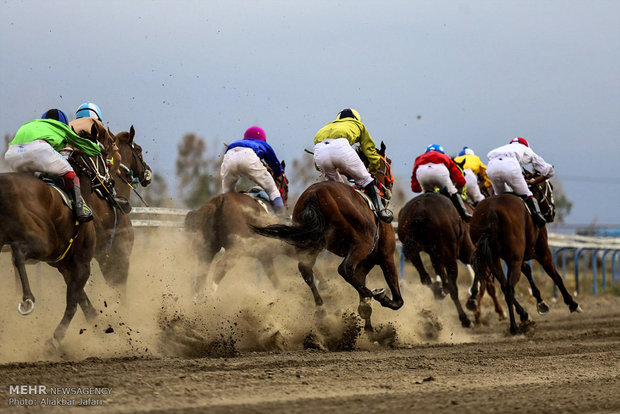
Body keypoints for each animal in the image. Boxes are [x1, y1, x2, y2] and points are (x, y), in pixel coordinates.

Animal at [0, 122, 112, 346]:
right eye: (103, 154)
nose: (110, 184)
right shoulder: (82, 264)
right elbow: (73, 304)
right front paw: (55, 340)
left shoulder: (64, 265)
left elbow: (83, 303)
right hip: (43, 241)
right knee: (18, 252)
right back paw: (27, 298)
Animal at [185, 162, 290, 298]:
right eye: (286, 184)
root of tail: (219, 201)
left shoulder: (265, 256)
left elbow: (275, 280)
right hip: (236, 248)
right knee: (220, 267)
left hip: (207, 248)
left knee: (202, 274)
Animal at [252, 143, 402, 334]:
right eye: (388, 162)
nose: (390, 186)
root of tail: (314, 194)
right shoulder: (386, 257)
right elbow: (398, 300)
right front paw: (380, 297)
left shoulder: (364, 264)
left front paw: (368, 326)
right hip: (360, 243)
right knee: (344, 269)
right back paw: (369, 294)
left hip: (310, 243)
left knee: (306, 270)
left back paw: (321, 308)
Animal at [398, 192, 504, 328]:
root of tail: (419, 211)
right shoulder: (469, 252)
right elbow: (481, 279)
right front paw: (473, 302)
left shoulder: (436, 256)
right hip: (450, 258)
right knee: (454, 288)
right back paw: (465, 319)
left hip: (415, 252)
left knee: (425, 277)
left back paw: (439, 292)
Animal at [470, 174, 580, 334]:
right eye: (550, 188)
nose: (552, 212)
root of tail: (491, 212)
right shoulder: (541, 251)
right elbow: (555, 276)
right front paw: (572, 304)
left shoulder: (516, 256)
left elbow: (527, 270)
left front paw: (540, 304)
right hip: (514, 258)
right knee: (509, 288)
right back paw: (514, 327)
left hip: (494, 258)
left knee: (504, 286)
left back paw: (521, 316)